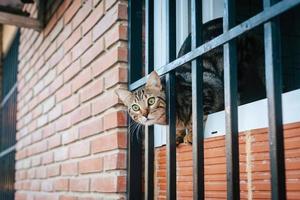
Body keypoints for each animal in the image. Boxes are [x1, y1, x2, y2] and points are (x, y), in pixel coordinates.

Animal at [115, 18, 264, 145]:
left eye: (151, 101)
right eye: (135, 107)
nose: (145, 115)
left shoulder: (206, 91)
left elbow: (196, 119)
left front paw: (191, 135)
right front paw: (178, 134)